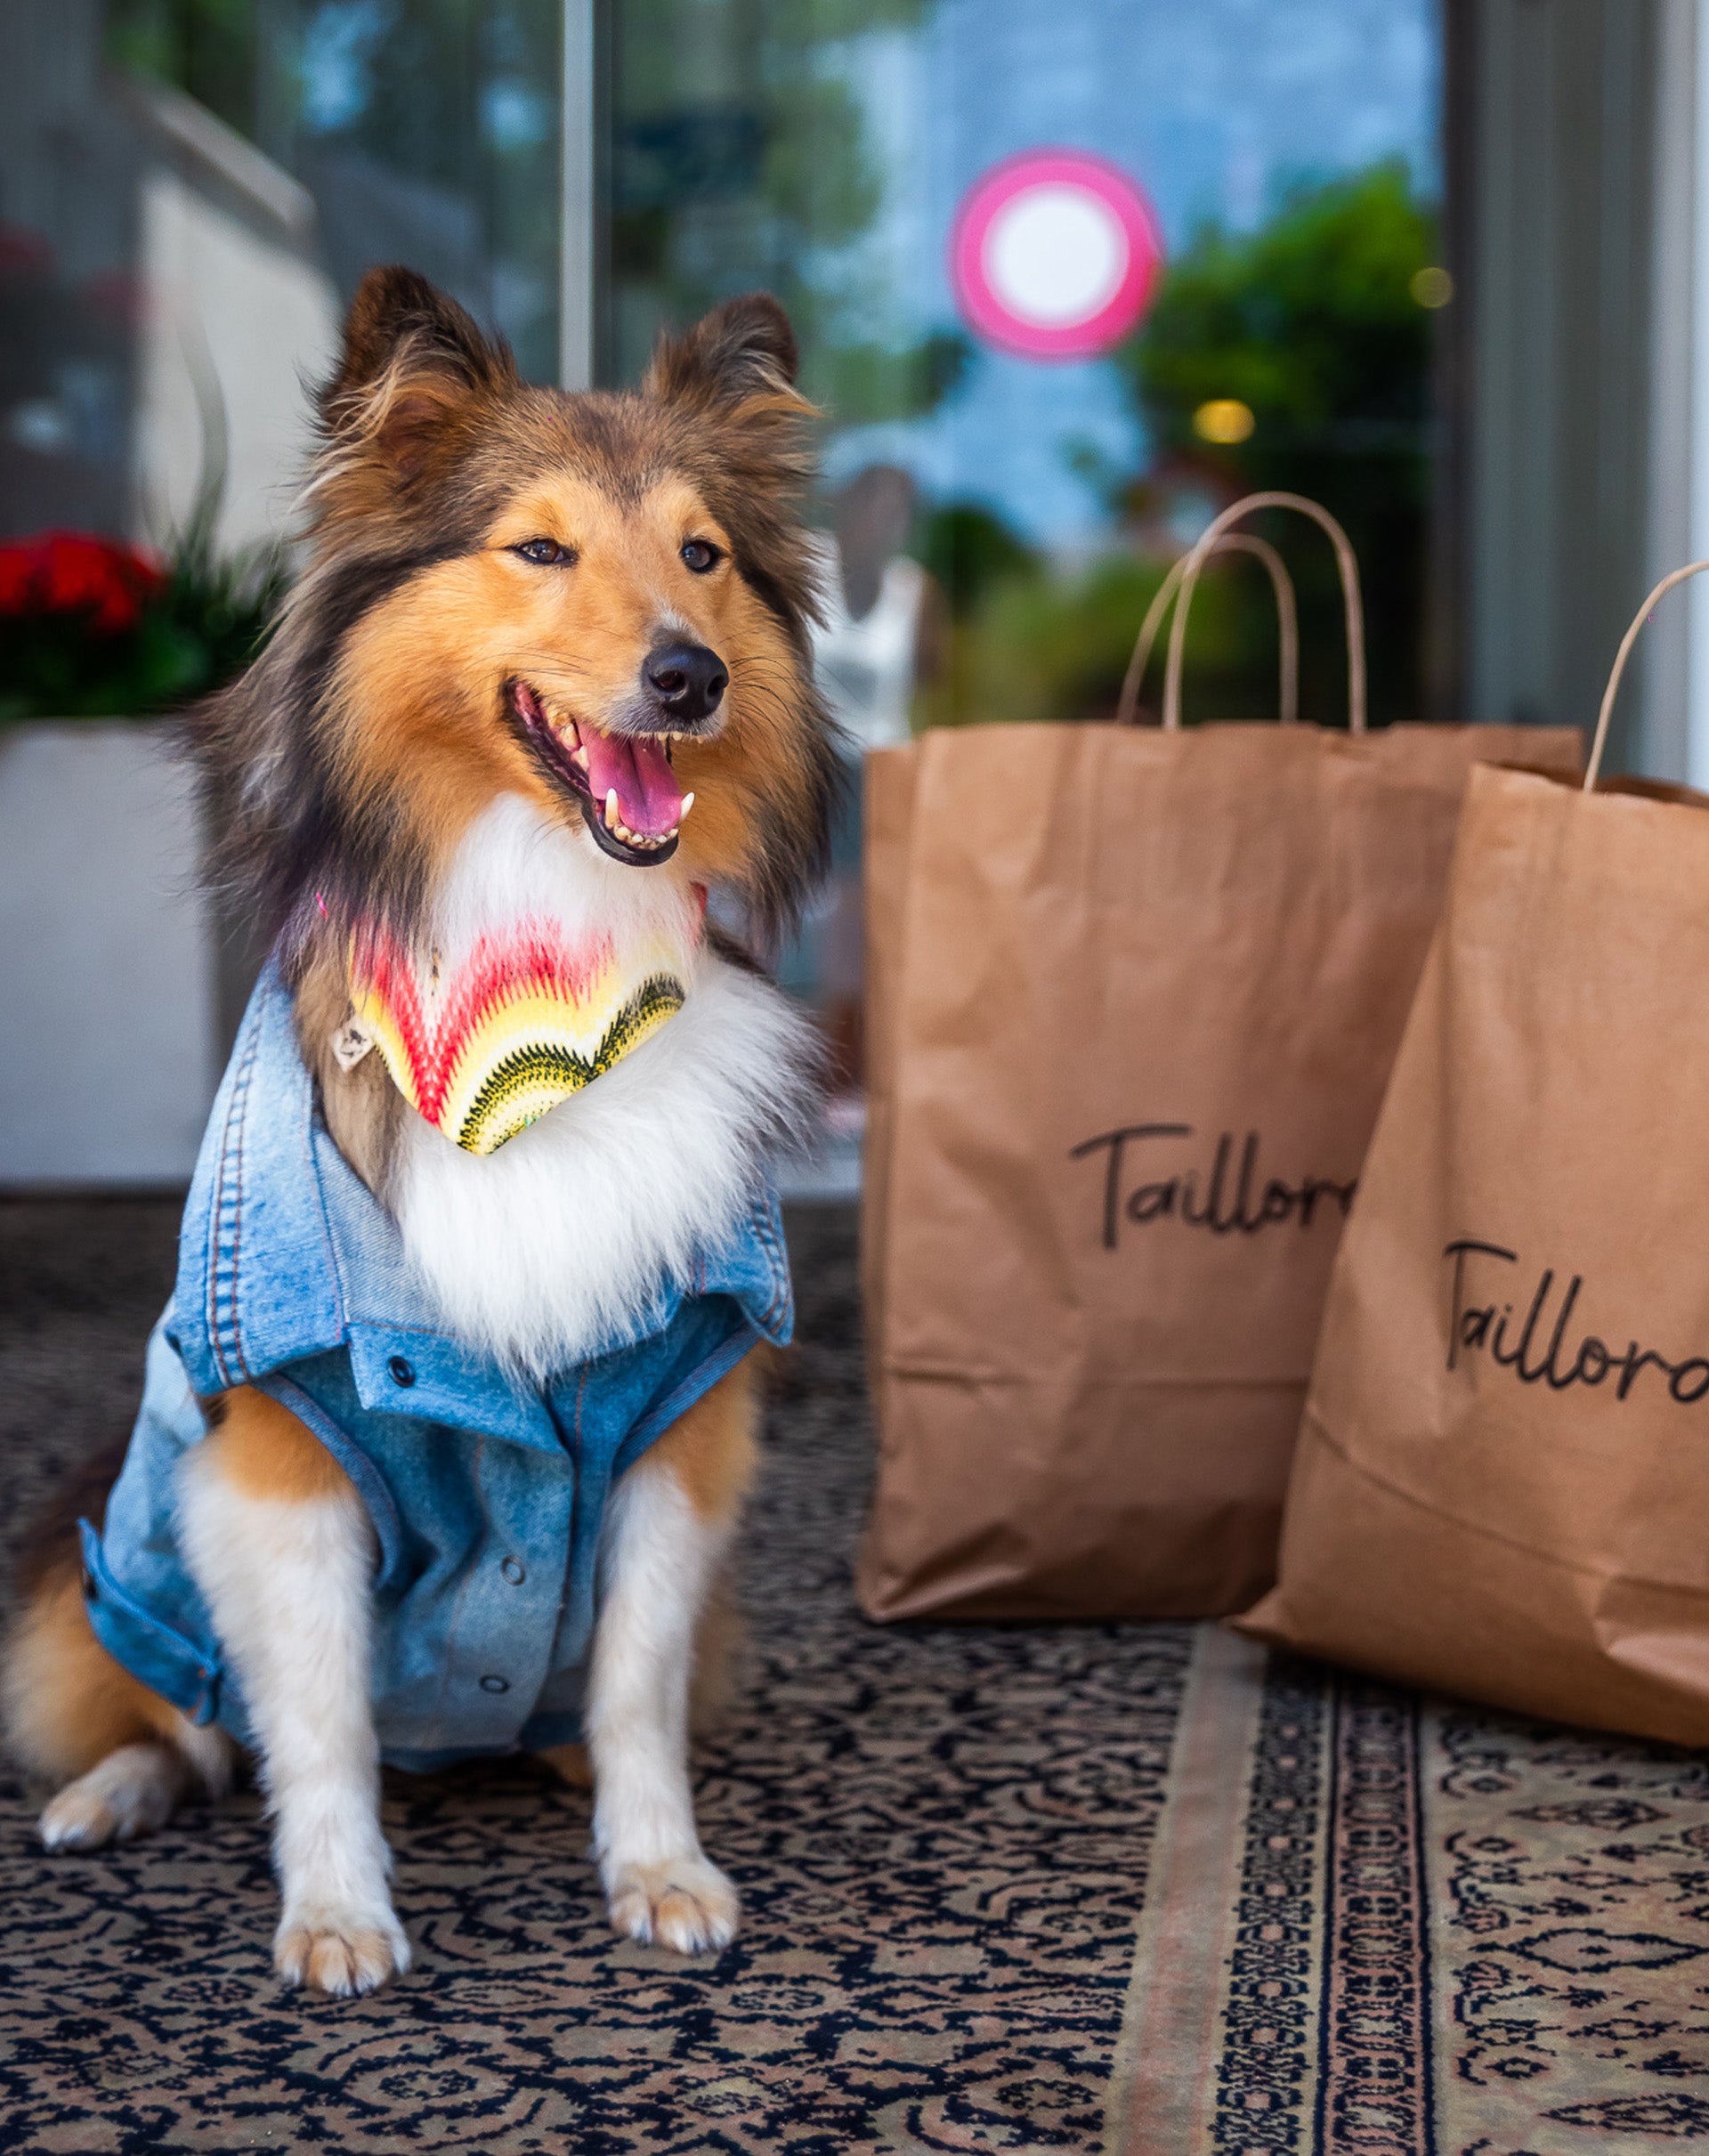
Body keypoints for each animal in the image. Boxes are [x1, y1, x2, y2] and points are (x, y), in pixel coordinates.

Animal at [0, 273, 836, 2000]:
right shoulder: (281, 1444)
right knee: (174, 1718)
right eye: (539, 548)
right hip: (113, 1553)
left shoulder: (680, 1420)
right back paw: (108, 1796)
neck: (542, 986)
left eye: (704, 554)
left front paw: (659, 1866)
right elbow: (313, 1721)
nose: (690, 678)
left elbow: (637, 1685)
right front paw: (334, 1913)